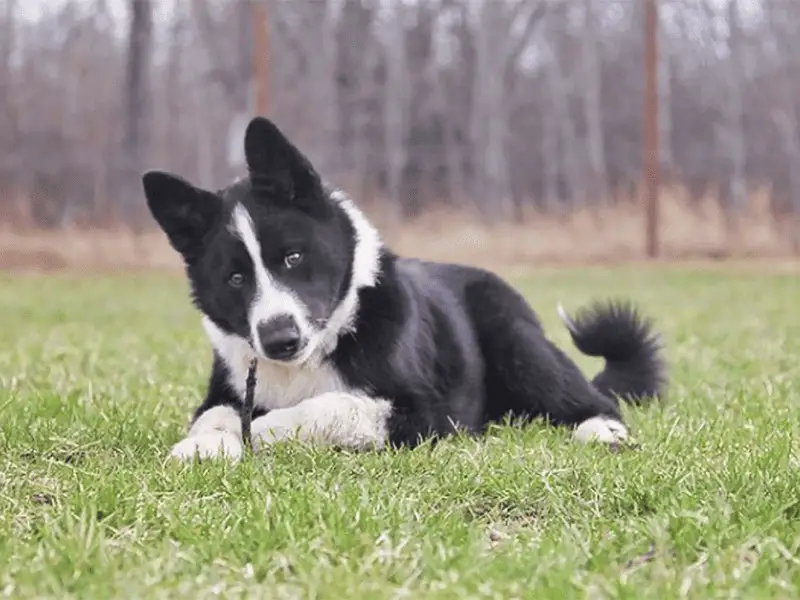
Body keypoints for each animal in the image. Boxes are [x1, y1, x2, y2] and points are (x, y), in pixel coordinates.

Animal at [141, 118, 664, 464]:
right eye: (235, 279)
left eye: (292, 257)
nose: (279, 340)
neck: (315, 355)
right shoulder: (227, 389)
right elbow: (214, 416)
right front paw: (205, 443)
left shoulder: (425, 412)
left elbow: (331, 407)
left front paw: (265, 428)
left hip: (518, 344)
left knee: (594, 400)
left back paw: (603, 431)